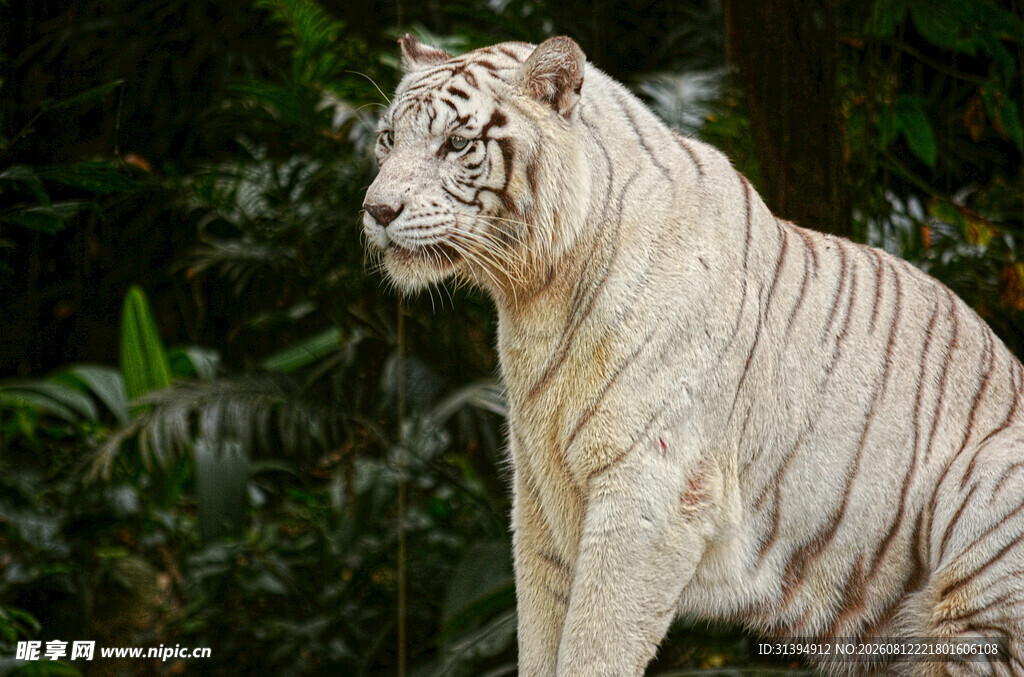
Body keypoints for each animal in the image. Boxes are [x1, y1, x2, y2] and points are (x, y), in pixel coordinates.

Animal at [361, 34, 1024, 676]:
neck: (537, 294)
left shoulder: (648, 493)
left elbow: (595, 645)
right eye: (388, 139)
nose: (377, 210)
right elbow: (543, 635)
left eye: (457, 143)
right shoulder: (541, 498)